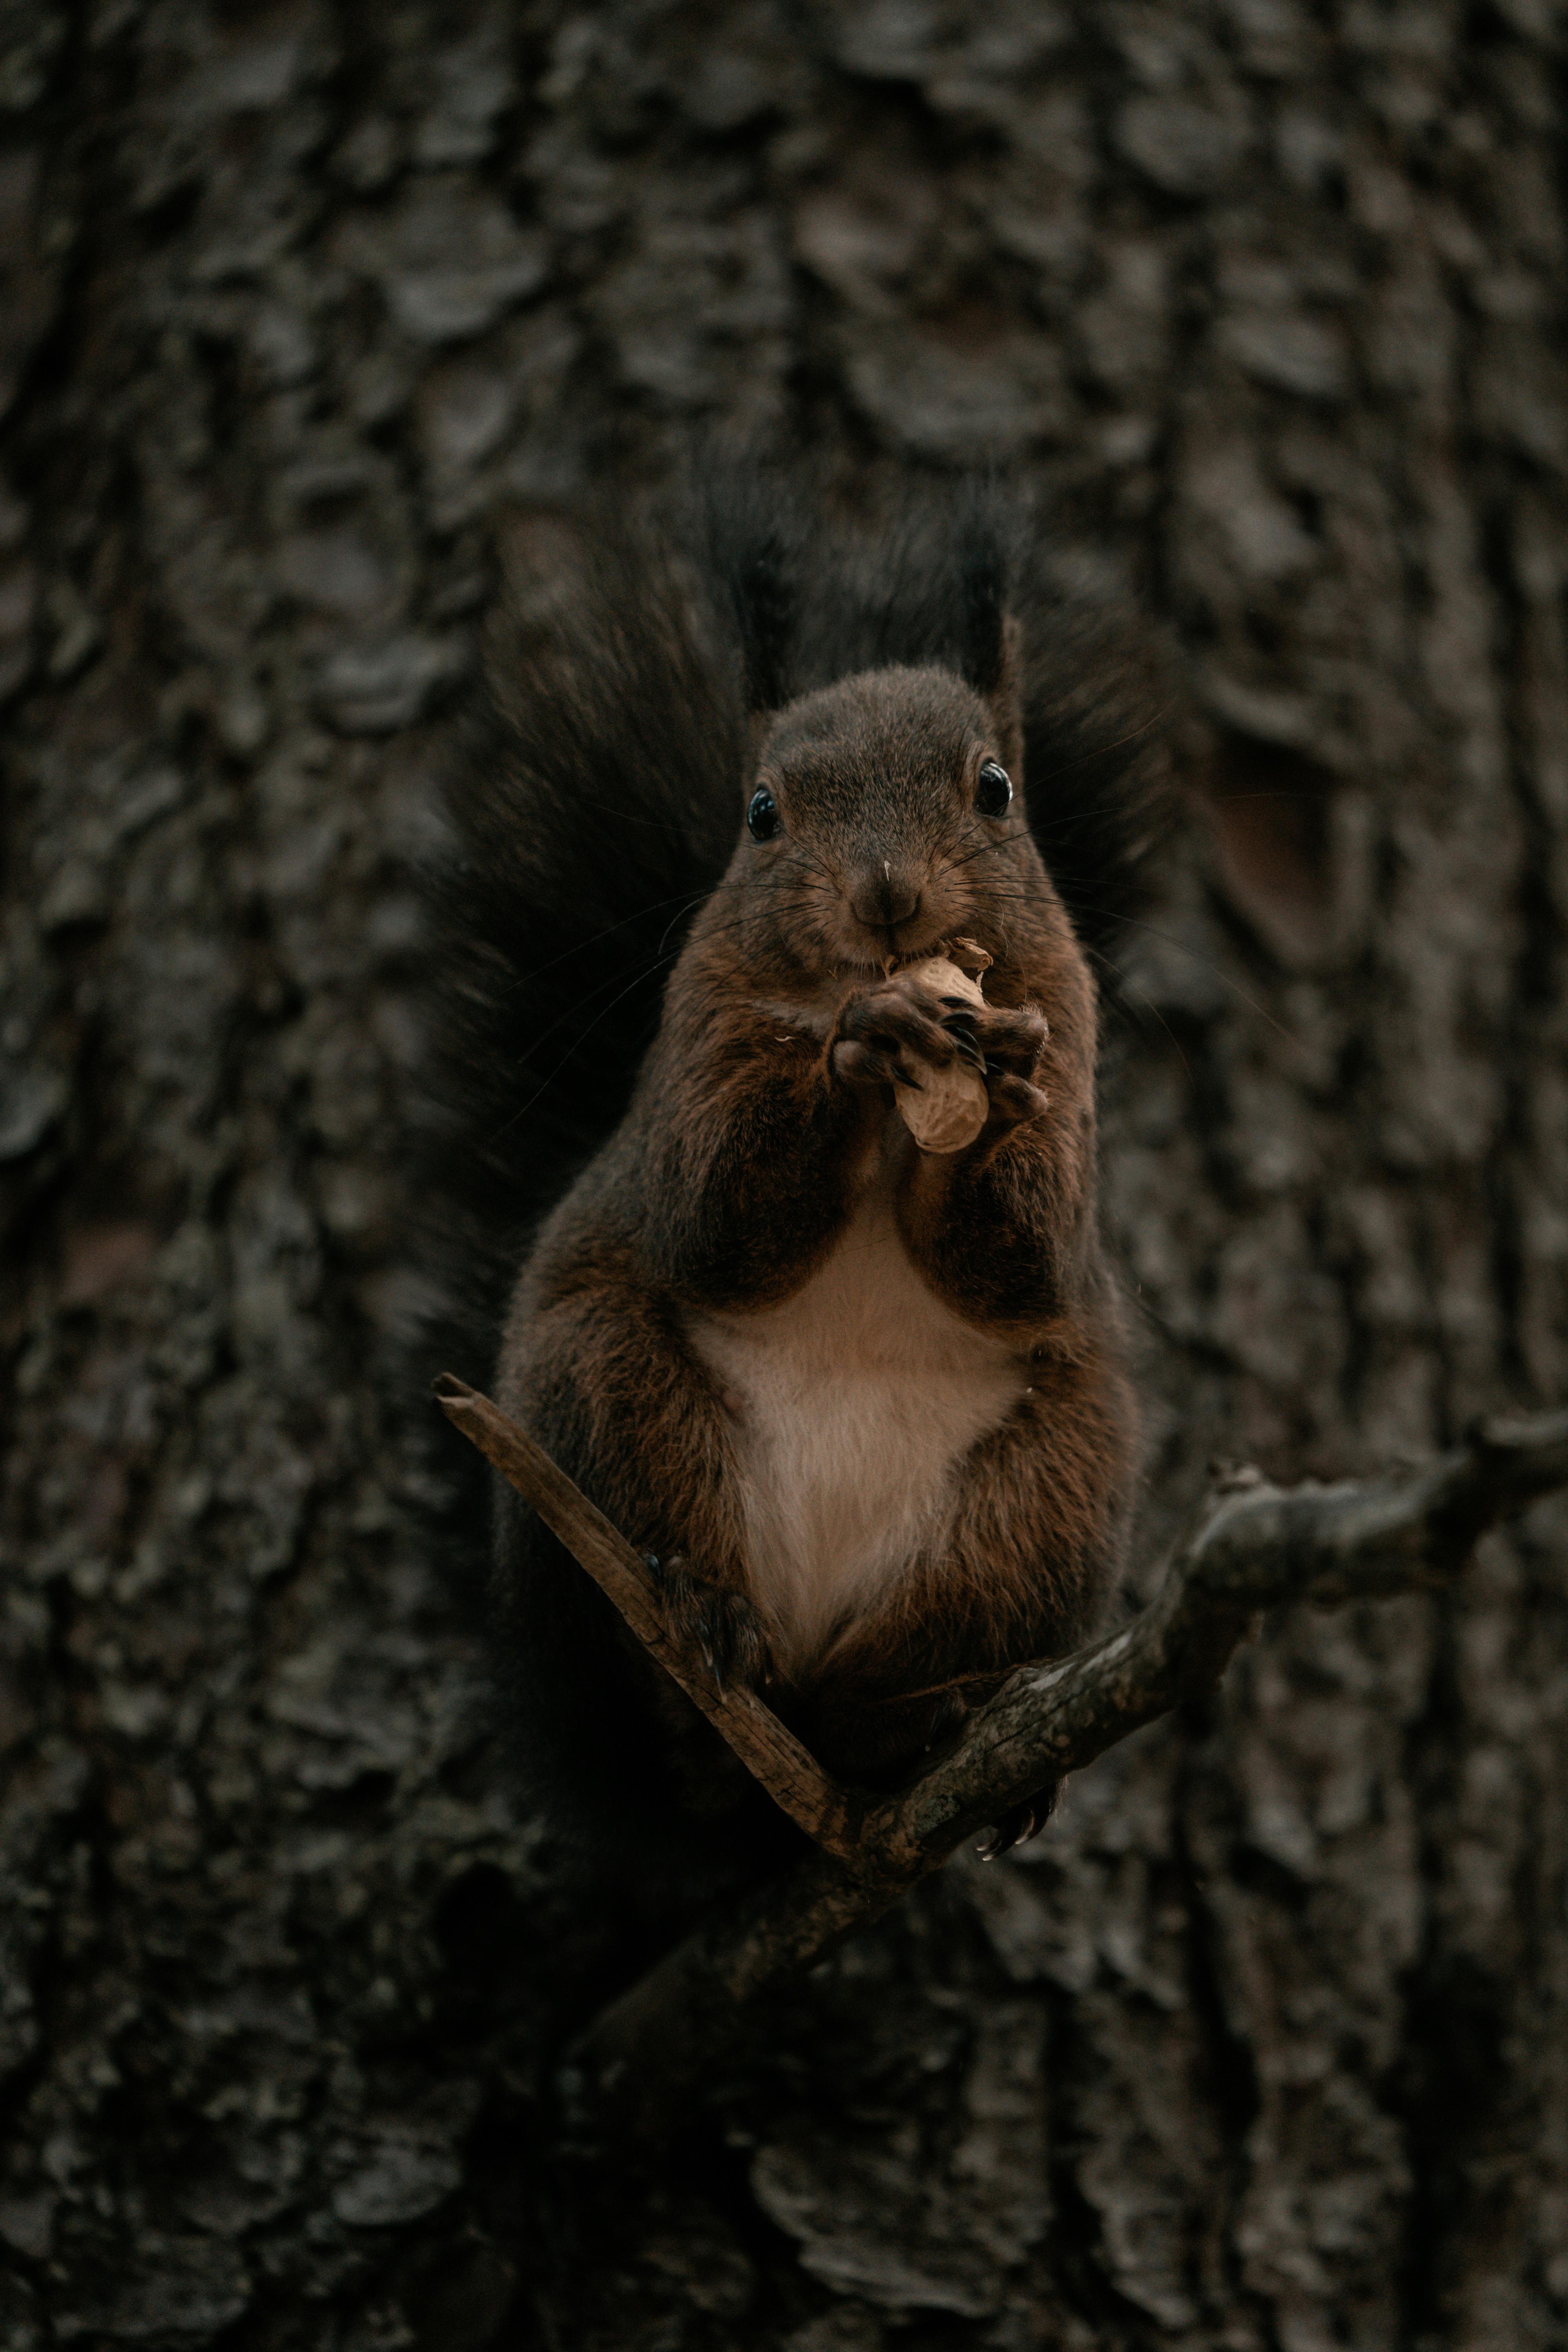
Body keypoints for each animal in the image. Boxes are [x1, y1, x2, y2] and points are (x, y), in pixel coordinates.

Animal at [430, 473, 1170, 1884]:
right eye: (762, 813)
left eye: (996, 790)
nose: (887, 895)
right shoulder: (691, 1051)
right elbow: (715, 1218)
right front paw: (849, 1050)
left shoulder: (1075, 1036)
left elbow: (1027, 1263)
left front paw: (987, 1097)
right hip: (602, 1390)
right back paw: (699, 1650)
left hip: (1048, 1500)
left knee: (865, 1695)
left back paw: (917, 1721)